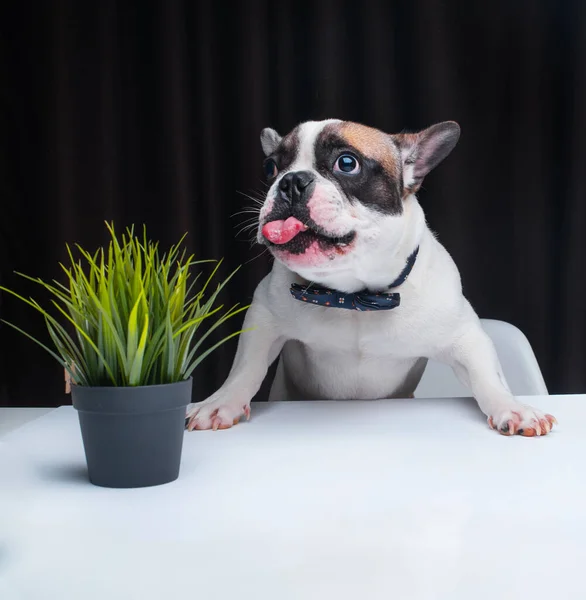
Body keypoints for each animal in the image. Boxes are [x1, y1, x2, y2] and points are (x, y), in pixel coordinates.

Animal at [185, 118, 556, 436]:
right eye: (271, 168)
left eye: (347, 163)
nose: (290, 181)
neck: (354, 296)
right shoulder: (264, 315)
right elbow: (246, 367)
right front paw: (221, 403)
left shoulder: (465, 336)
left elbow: (487, 376)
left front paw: (513, 407)